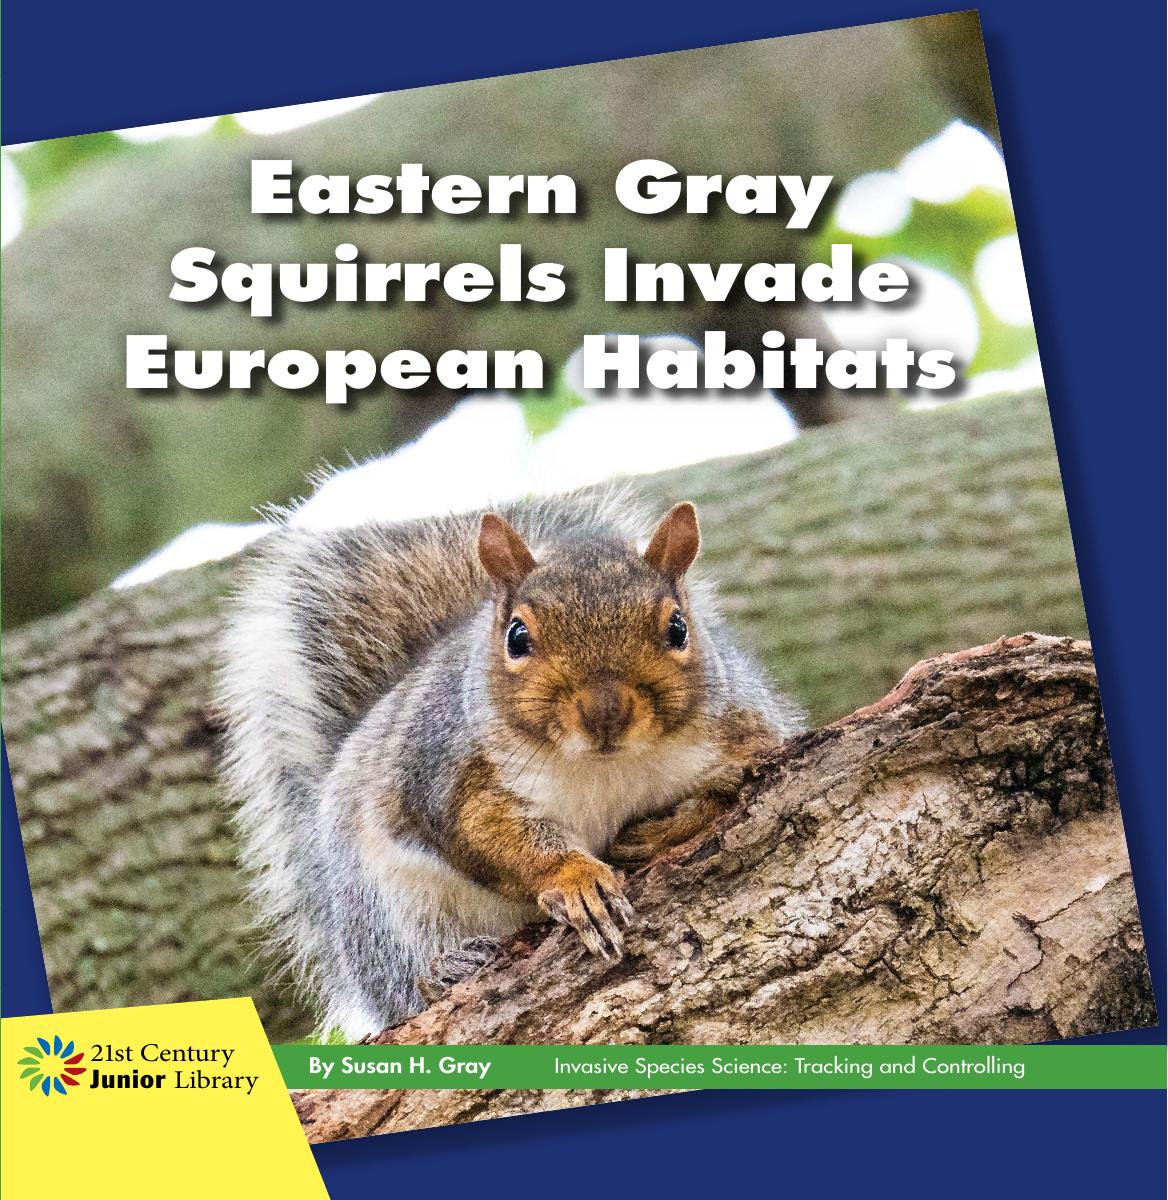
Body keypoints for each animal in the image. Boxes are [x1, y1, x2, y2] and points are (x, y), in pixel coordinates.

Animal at [217, 489, 805, 1038]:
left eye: (678, 628)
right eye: (517, 637)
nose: (605, 712)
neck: (604, 768)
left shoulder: (747, 733)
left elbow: (731, 792)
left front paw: (657, 833)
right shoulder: (452, 772)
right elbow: (489, 834)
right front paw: (577, 880)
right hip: (382, 909)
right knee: (405, 978)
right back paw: (448, 969)